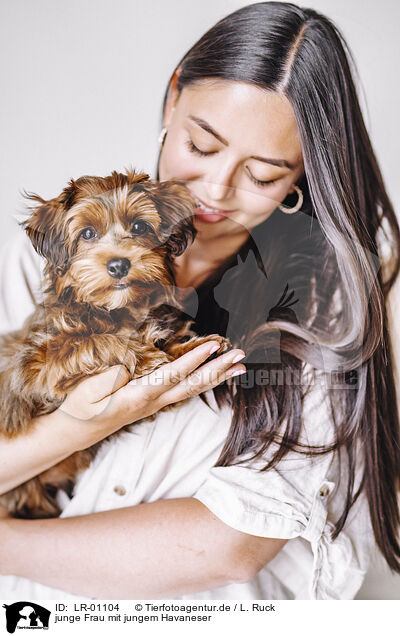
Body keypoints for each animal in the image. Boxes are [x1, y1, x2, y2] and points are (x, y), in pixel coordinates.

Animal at [0, 171, 228, 520]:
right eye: (87, 233)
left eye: (139, 227)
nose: (119, 265)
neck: (118, 309)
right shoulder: (34, 365)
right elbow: (93, 341)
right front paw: (145, 355)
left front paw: (193, 347)